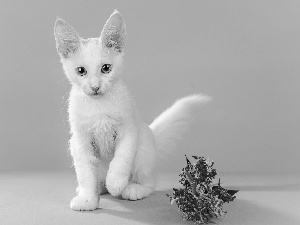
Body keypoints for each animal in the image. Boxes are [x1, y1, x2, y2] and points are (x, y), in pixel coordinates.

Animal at [54, 10, 211, 211]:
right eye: (81, 71)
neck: (99, 107)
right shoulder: (80, 139)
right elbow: (85, 172)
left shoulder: (128, 129)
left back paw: (133, 188)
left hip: (143, 148)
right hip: (74, 145)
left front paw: (115, 183)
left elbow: (121, 159)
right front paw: (87, 198)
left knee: (150, 183)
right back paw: (97, 187)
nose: (95, 87)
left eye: (106, 68)